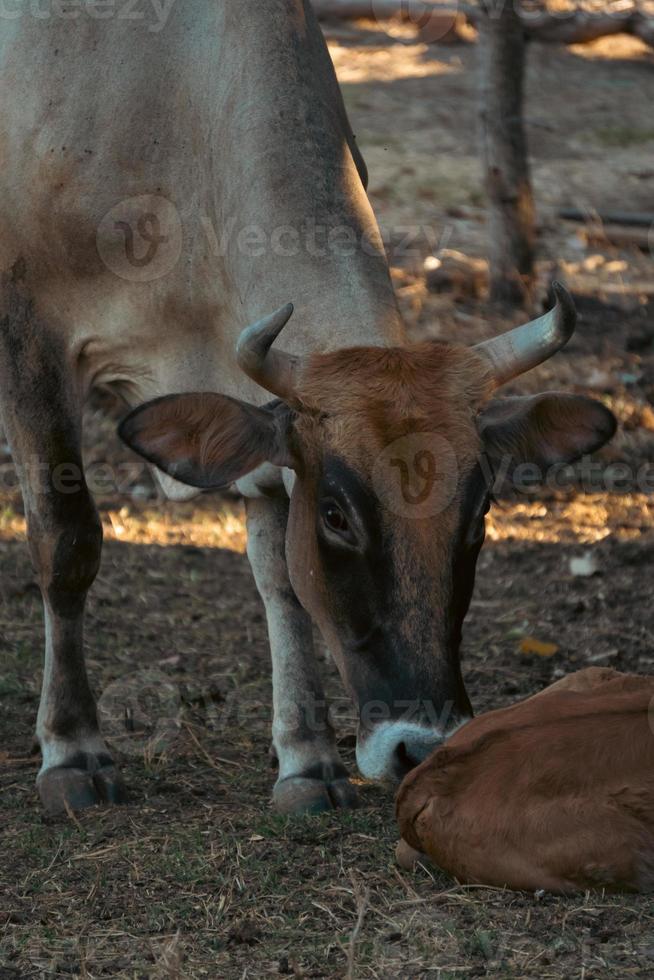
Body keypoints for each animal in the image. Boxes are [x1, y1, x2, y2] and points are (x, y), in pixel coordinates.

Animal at [0, 1, 620, 812]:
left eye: (480, 510)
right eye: (337, 515)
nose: (419, 745)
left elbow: (279, 577)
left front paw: (306, 757)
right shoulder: (32, 335)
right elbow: (66, 539)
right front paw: (71, 749)